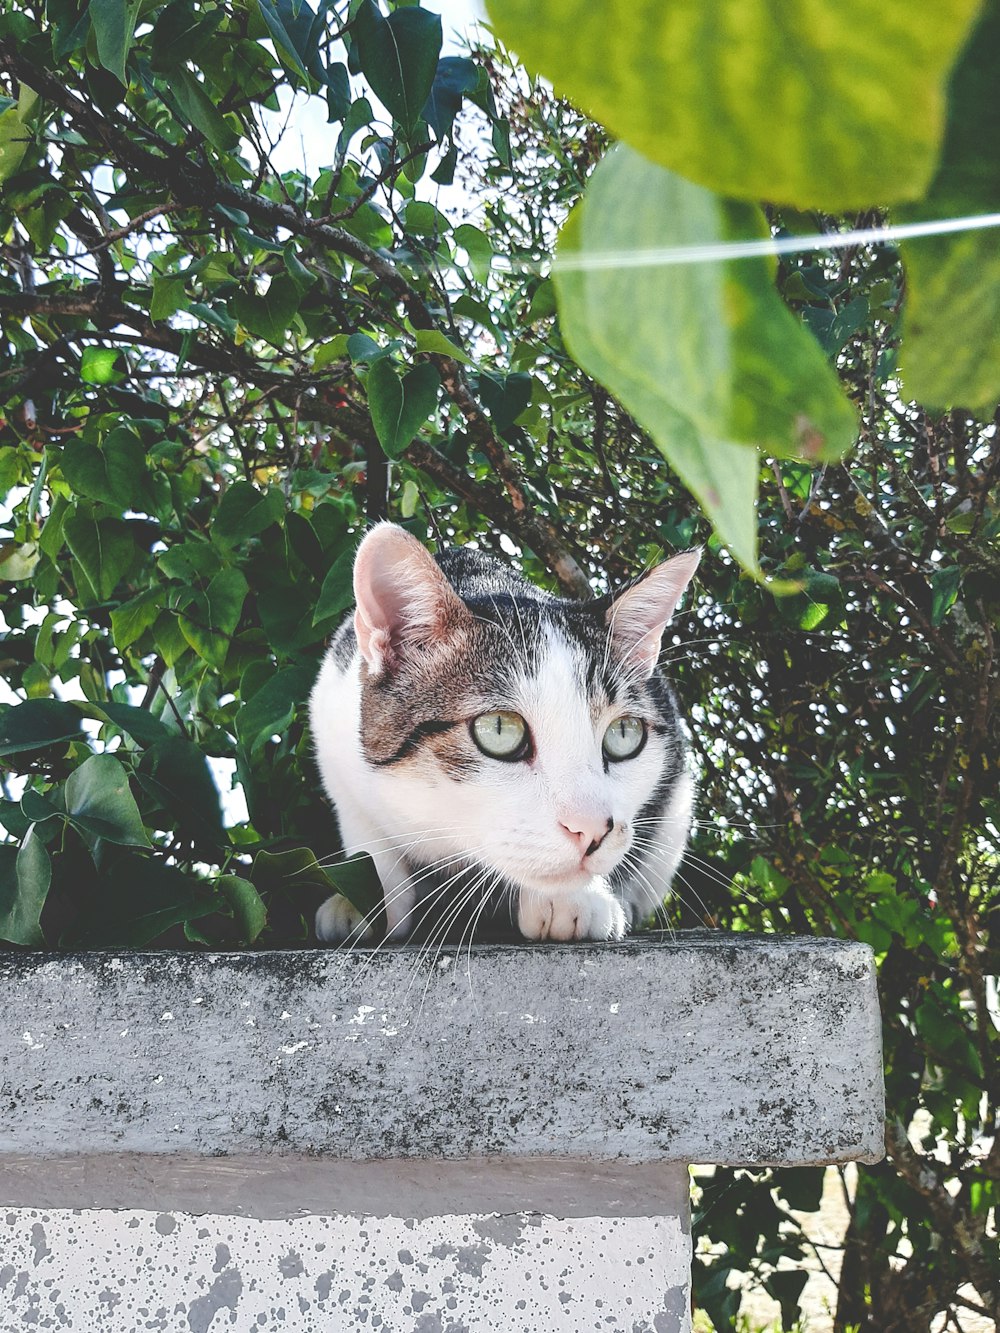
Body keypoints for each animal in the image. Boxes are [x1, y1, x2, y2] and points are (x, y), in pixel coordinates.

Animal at [309, 522, 698, 949]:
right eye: (499, 729)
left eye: (624, 735)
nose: (592, 829)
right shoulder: (333, 732)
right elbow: (368, 838)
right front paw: (366, 900)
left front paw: (574, 897)